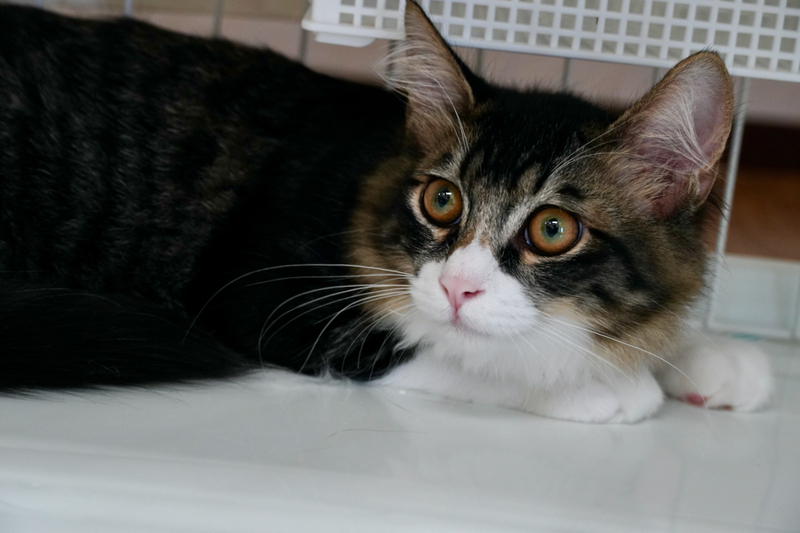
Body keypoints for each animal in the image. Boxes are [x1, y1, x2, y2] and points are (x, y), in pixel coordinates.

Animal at [0, 1, 773, 422]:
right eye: (442, 200)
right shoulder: (270, 297)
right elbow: (455, 353)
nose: (457, 287)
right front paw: (605, 386)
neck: (365, 172)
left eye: (553, 229)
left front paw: (708, 356)